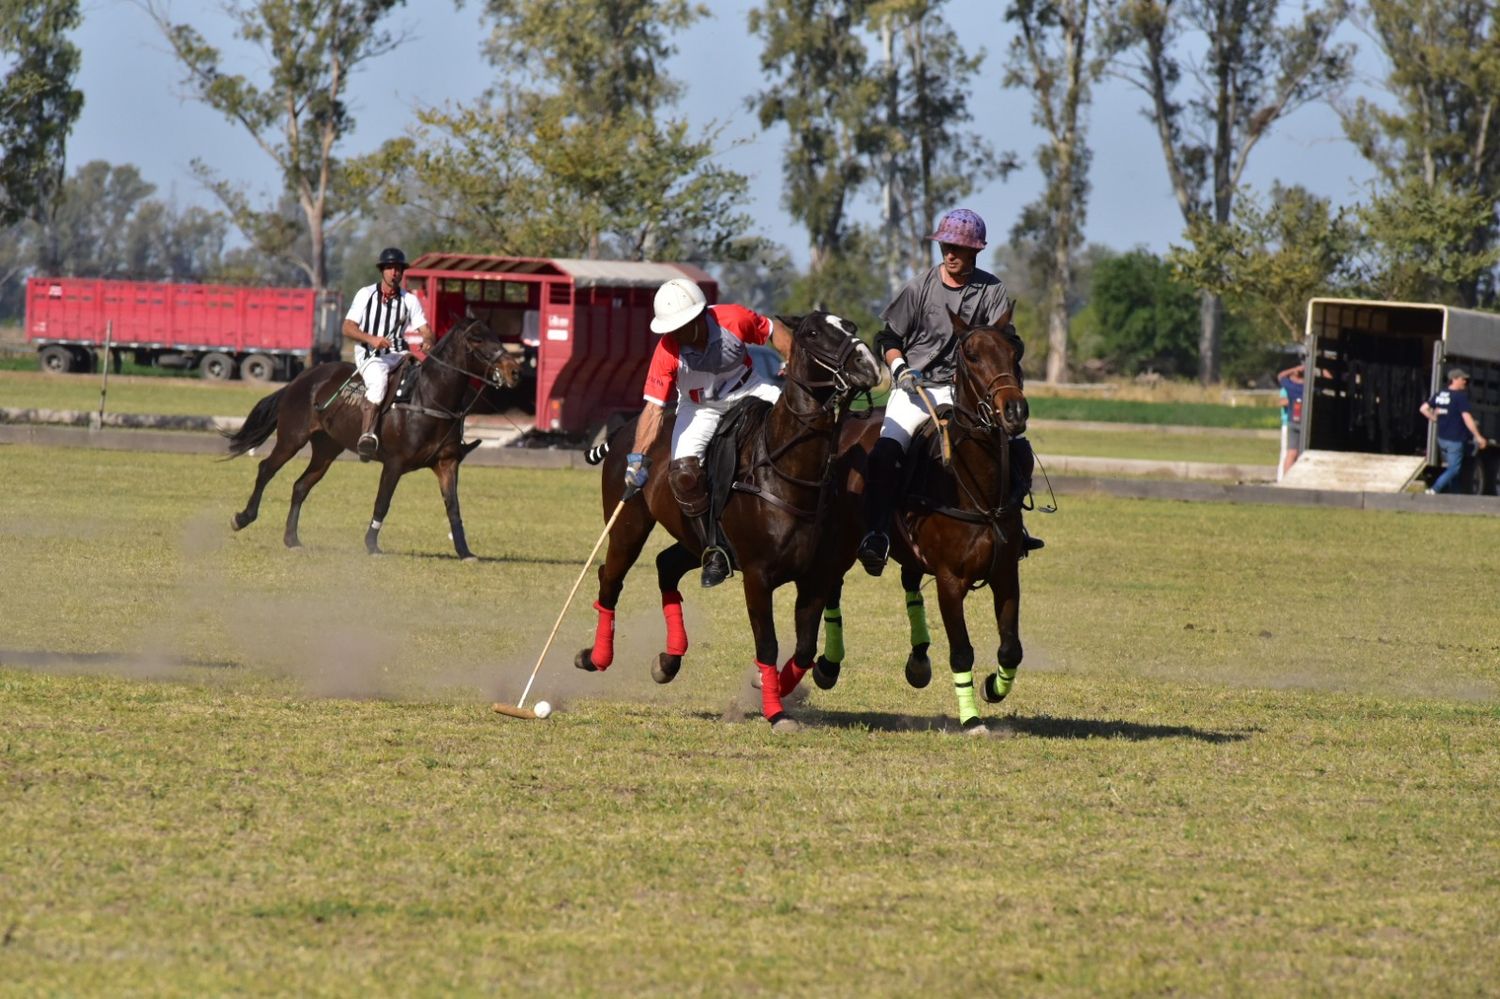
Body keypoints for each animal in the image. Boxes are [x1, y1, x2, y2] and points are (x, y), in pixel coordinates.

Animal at [219, 316, 525, 555]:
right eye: (477, 339)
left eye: (497, 337)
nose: (514, 371)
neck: (430, 398)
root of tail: (300, 379)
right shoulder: (394, 463)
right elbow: (382, 502)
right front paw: (371, 544)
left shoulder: (447, 463)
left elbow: (453, 507)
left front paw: (465, 551)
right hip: (292, 438)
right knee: (266, 469)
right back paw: (242, 518)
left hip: (327, 448)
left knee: (301, 485)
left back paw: (292, 538)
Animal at [570, 307, 876, 729]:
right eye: (813, 334)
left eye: (851, 327)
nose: (868, 364)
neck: (789, 472)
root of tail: (625, 430)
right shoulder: (758, 576)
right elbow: (768, 644)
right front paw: (776, 712)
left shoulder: (816, 576)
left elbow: (803, 649)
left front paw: (770, 688)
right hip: (628, 524)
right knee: (610, 577)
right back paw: (595, 657)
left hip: (693, 538)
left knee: (666, 565)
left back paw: (668, 660)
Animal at [810, 307, 1032, 729]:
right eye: (972, 356)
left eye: (1016, 352)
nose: (1014, 411)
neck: (976, 488)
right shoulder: (950, 579)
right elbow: (962, 651)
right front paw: (972, 719)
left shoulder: (1006, 571)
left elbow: (1011, 648)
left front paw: (993, 688)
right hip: (840, 540)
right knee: (830, 587)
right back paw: (827, 667)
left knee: (909, 583)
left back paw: (918, 661)